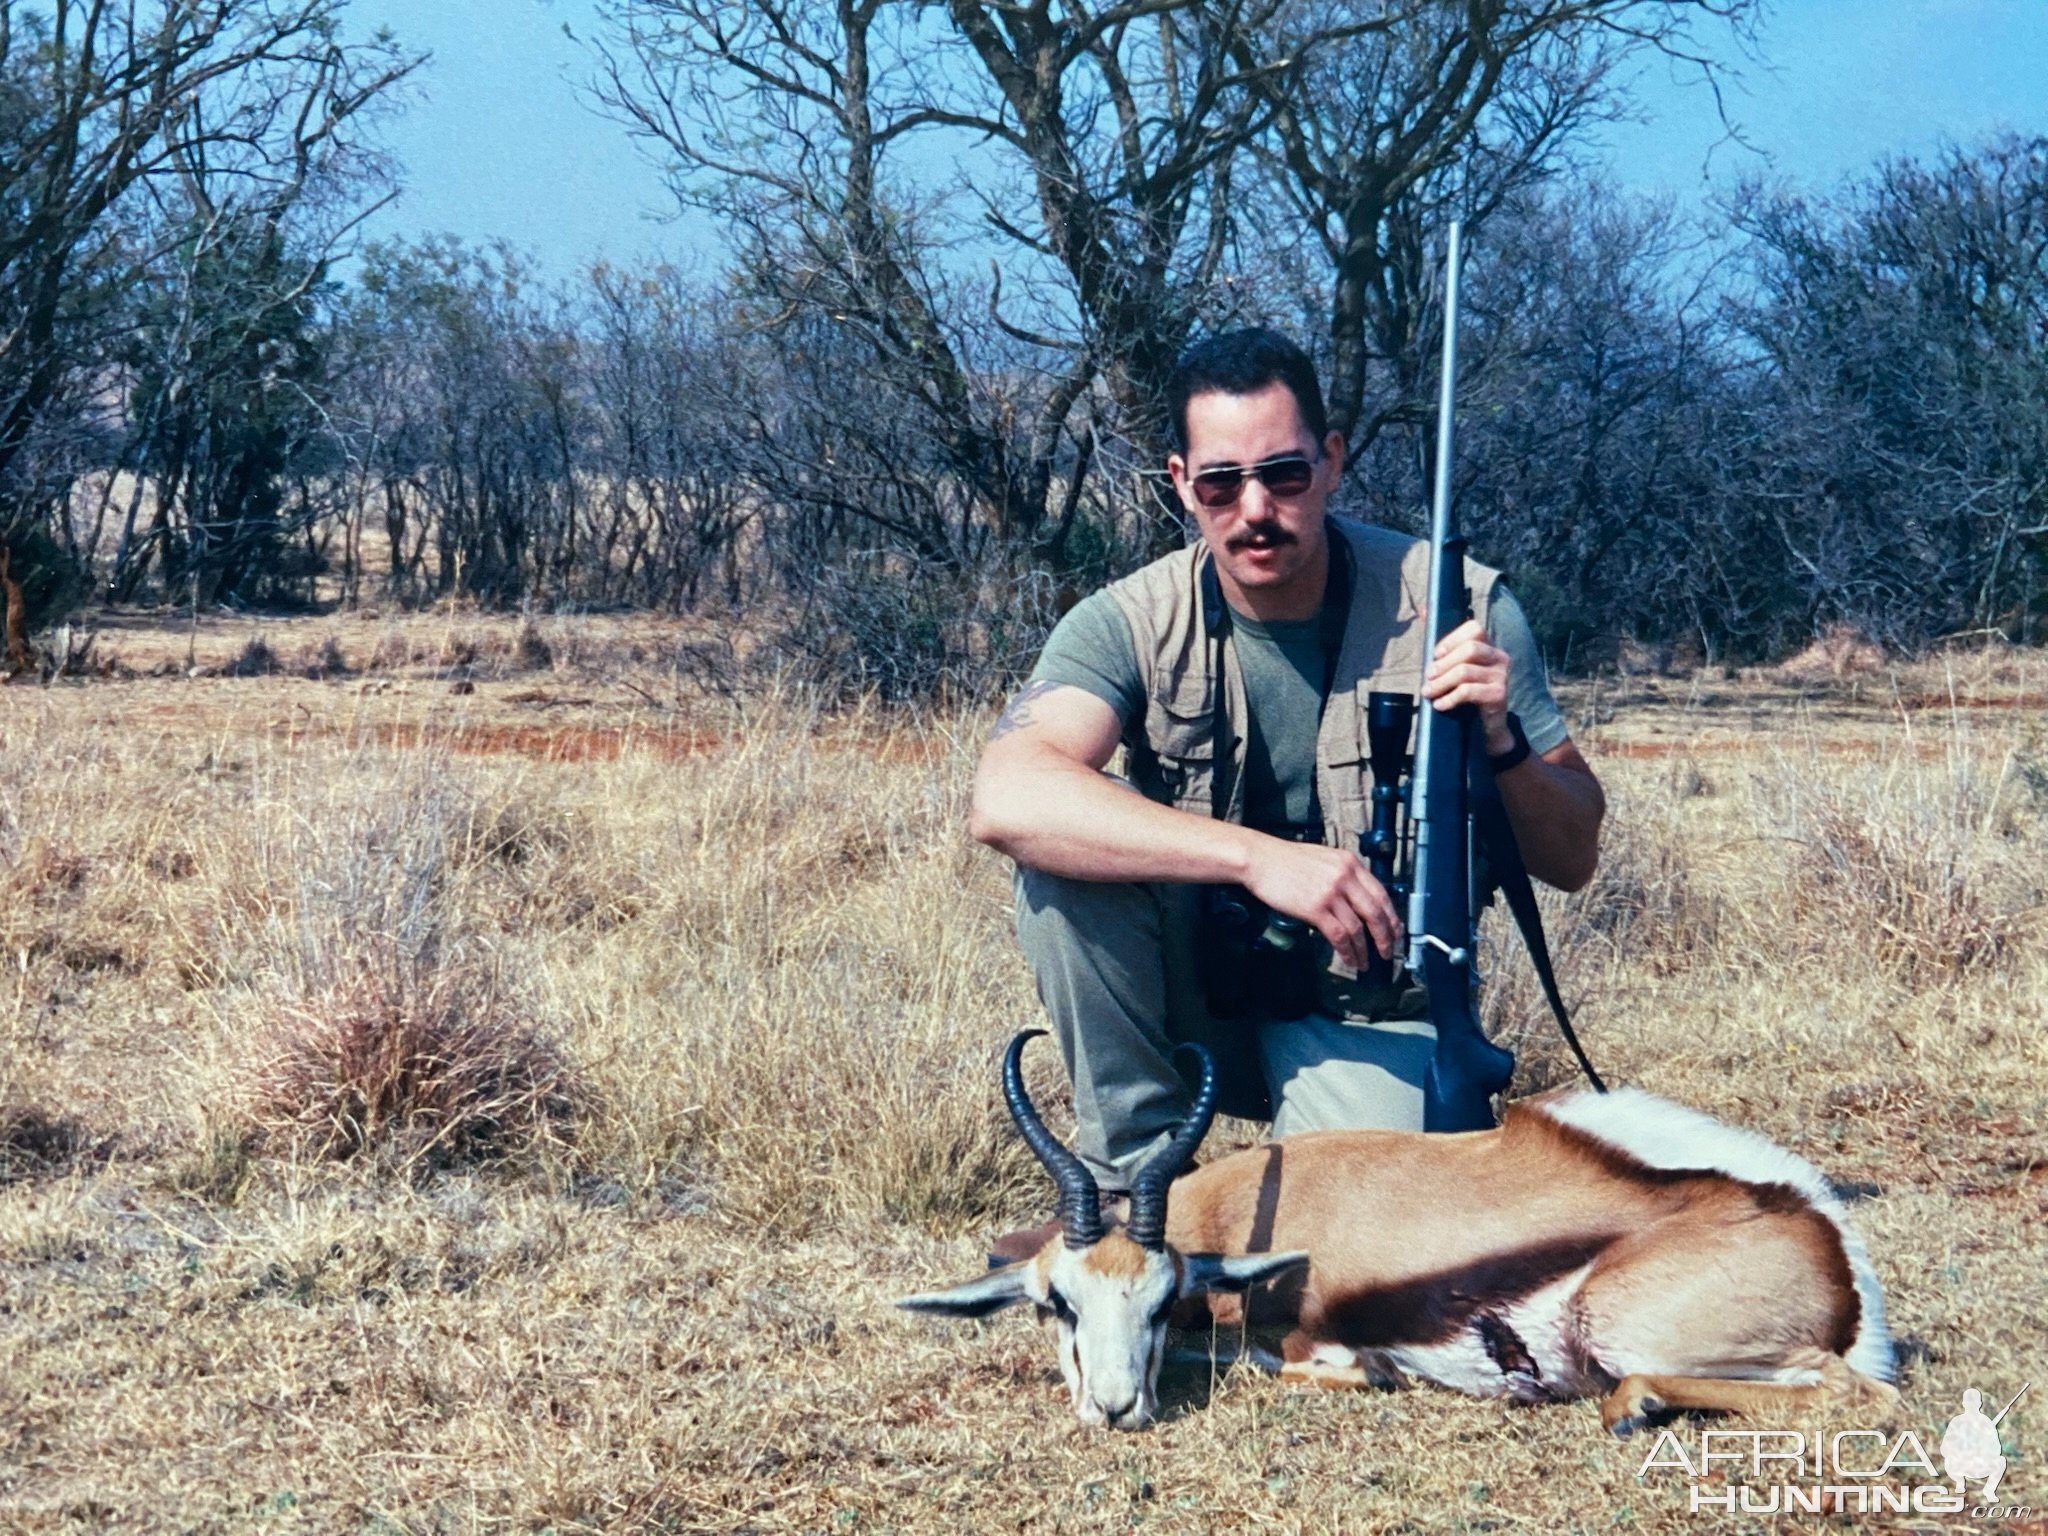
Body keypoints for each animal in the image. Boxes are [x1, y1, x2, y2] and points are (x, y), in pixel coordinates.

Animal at [905, 1036, 1892, 1441]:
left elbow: (1272, 1359)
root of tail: (1824, 1239)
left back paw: (1634, 1406)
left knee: (1858, 1395)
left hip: (1620, 1327)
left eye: (1159, 1301)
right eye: (1057, 1305)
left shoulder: (1308, 1341)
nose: (1115, 1408)